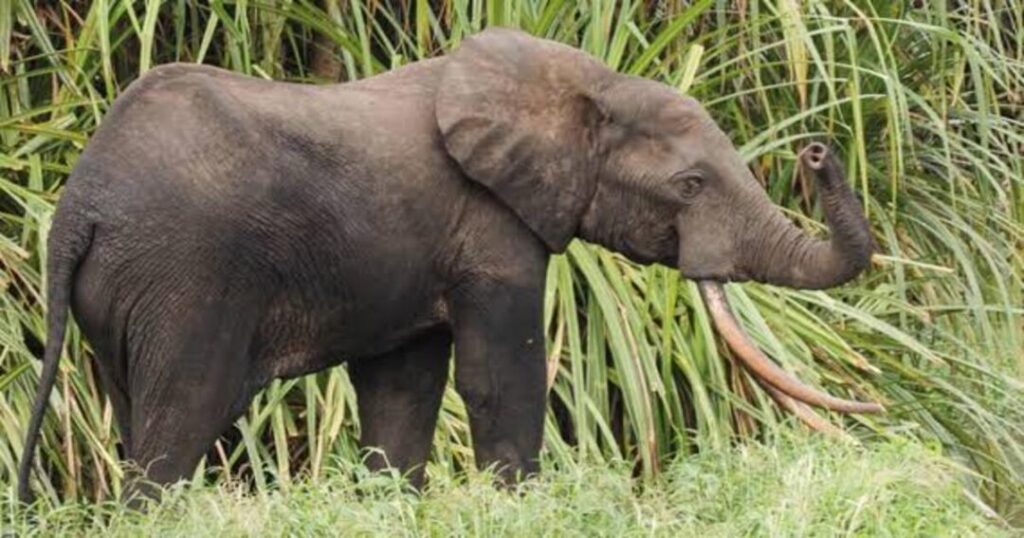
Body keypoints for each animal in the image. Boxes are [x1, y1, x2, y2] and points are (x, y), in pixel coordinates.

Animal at [18, 27, 881, 503]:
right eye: (691, 185)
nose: (816, 151)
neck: (586, 83)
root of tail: (76, 209)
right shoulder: (491, 226)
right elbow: (503, 376)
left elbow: (403, 391)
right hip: (187, 275)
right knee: (181, 420)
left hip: (126, 289)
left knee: (134, 413)